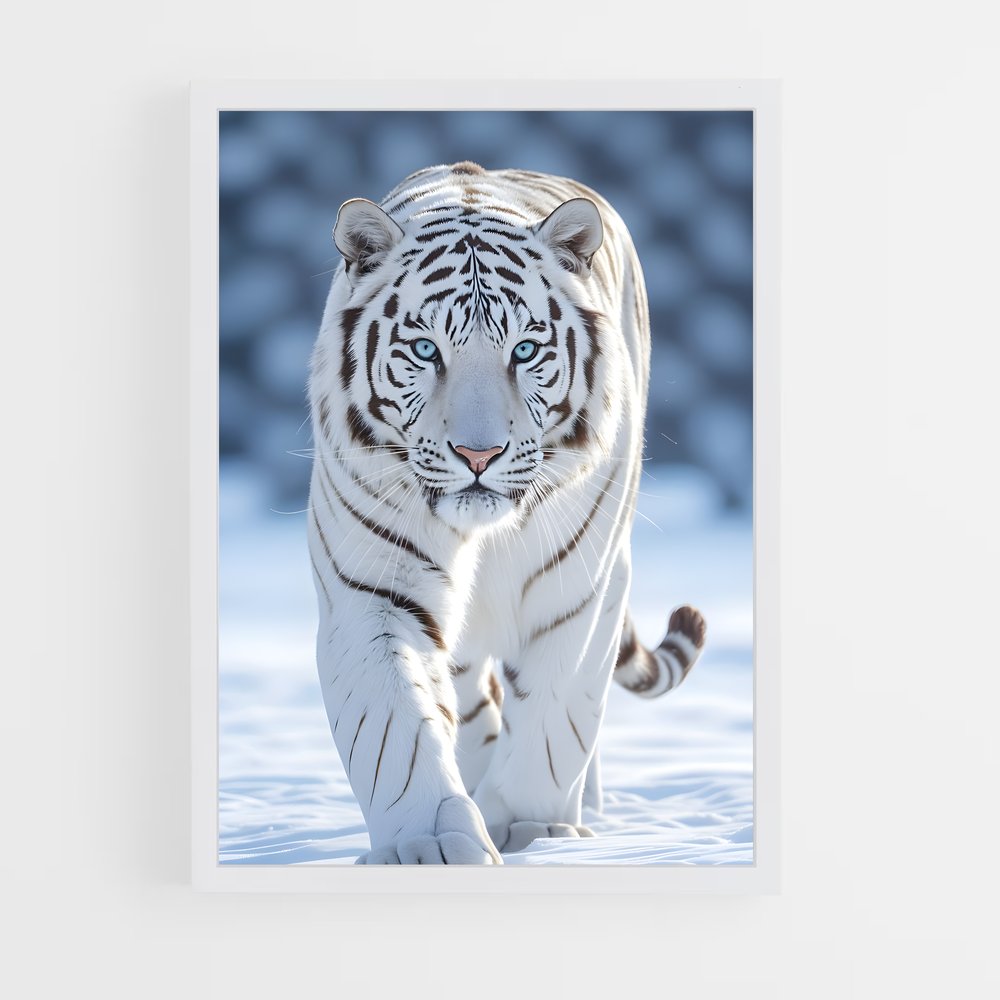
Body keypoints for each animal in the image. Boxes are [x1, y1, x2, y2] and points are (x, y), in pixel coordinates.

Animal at [307, 162, 706, 864]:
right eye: (425, 350)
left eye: (524, 351)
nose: (478, 454)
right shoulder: (374, 589)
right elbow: (394, 730)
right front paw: (430, 845)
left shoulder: (578, 589)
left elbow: (554, 716)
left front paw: (533, 829)